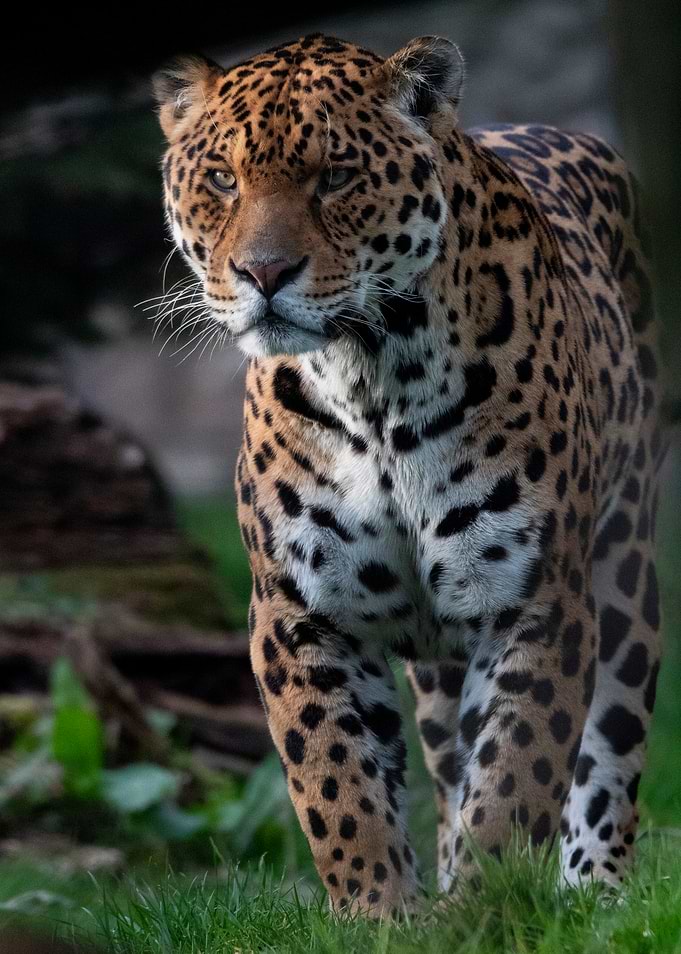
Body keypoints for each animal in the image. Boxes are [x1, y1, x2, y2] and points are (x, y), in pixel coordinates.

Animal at [152, 33, 666, 916]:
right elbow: (339, 788)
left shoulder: (535, 602)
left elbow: (516, 776)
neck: (372, 382)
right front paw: (383, 916)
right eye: (221, 178)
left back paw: (594, 894)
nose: (263, 273)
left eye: (335, 176)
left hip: (625, 566)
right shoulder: (297, 613)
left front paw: (484, 912)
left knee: (608, 746)